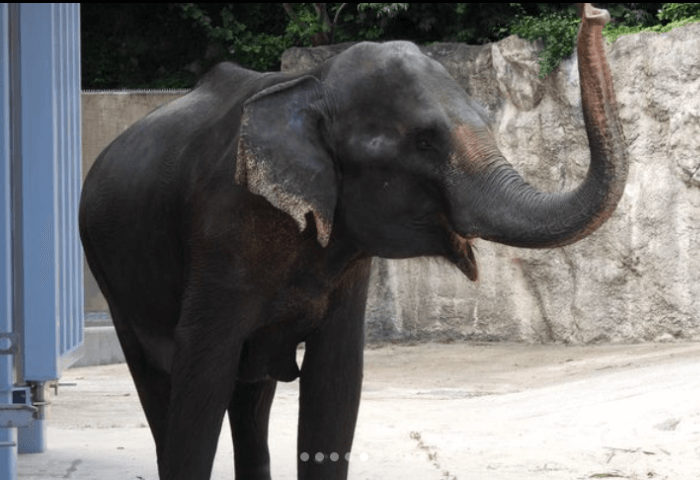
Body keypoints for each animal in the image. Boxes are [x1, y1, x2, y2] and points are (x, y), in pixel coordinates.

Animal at [78, 4, 628, 480]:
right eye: (424, 141)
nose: (594, 12)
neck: (310, 84)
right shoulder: (221, 232)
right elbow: (201, 377)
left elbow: (336, 381)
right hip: (109, 271)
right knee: (161, 382)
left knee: (251, 394)